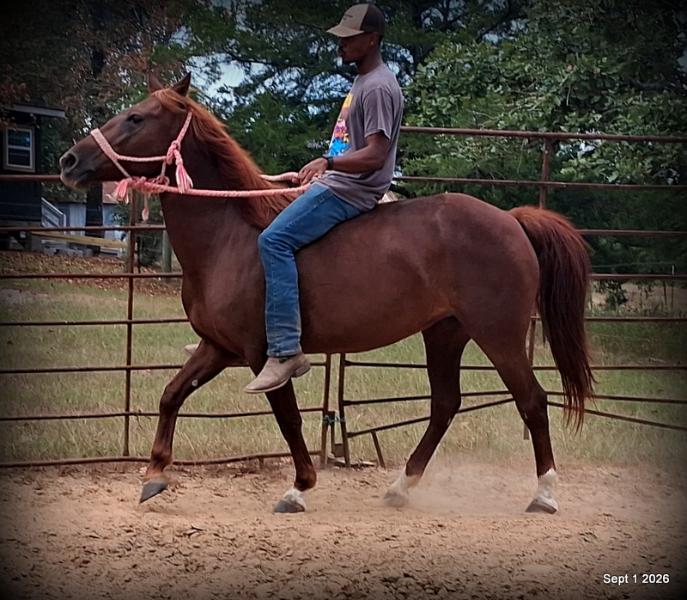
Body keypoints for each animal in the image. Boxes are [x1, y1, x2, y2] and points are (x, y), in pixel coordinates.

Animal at [59, 74, 594, 514]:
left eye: (137, 117)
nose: (69, 160)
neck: (231, 234)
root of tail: (513, 220)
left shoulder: (263, 355)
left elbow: (289, 419)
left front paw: (299, 488)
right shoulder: (218, 347)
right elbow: (171, 394)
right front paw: (153, 475)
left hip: (498, 334)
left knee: (532, 401)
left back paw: (544, 494)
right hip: (445, 333)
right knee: (445, 405)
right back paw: (400, 487)